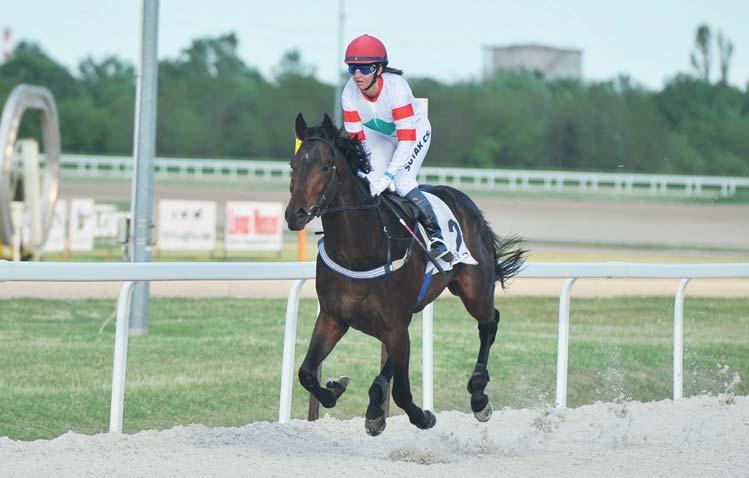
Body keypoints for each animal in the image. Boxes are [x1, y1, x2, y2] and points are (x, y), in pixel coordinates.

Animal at [284, 113, 524, 436]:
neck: (359, 249)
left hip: (474, 291)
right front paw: (336, 389)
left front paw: (424, 416)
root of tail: (463, 200)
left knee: (489, 323)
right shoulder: (333, 317)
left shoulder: (394, 322)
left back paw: (478, 396)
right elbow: (307, 373)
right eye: (293, 164)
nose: (294, 214)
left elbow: (402, 393)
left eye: (325, 165)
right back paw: (375, 402)